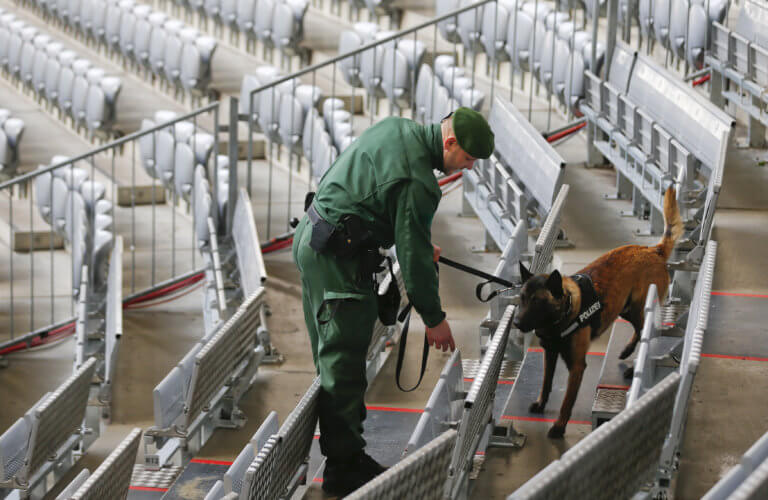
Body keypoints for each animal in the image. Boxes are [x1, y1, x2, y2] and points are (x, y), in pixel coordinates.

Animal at [512, 188, 680, 438]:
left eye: (538, 302)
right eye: (522, 299)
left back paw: (633, 366)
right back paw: (626, 351)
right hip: (626, 309)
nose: (516, 323)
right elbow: (546, 382)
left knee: (646, 334)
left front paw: (559, 426)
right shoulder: (550, 354)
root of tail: (653, 250)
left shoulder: (577, 366)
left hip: (640, 308)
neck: (565, 313)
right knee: (638, 331)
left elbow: (567, 401)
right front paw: (541, 403)